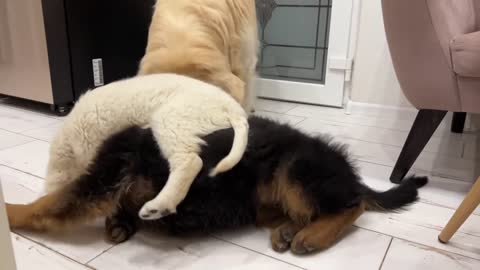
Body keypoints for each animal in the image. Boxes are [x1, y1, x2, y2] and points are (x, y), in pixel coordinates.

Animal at [6, 117, 428, 254]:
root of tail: (349, 173)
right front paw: (120, 223)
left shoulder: (99, 181)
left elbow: (41, 207)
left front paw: (7, 212)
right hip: (268, 198)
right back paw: (289, 231)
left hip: (295, 169)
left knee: (353, 205)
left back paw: (312, 236)